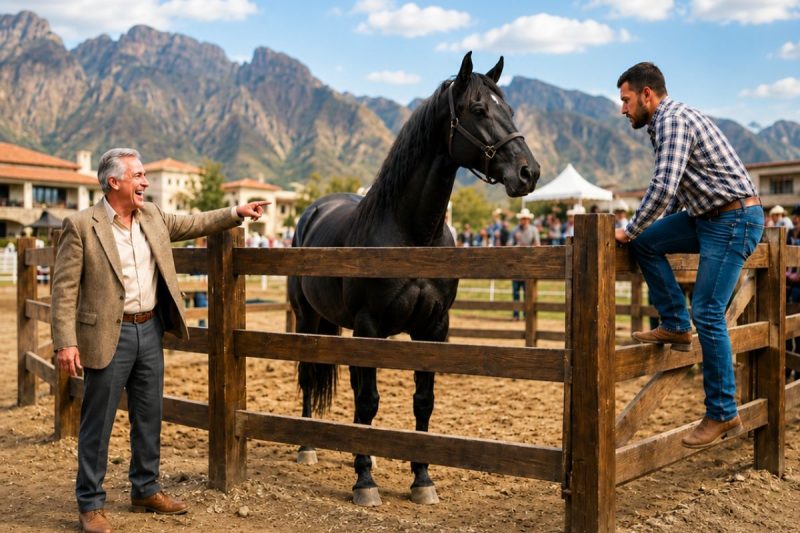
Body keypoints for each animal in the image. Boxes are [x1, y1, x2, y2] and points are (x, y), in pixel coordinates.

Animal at [288, 51, 540, 507]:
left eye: (509, 109)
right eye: (479, 110)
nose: (529, 172)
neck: (412, 233)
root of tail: (313, 210)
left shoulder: (433, 328)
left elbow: (423, 401)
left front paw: (422, 478)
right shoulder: (371, 327)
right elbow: (369, 401)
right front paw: (365, 482)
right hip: (307, 318)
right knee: (310, 375)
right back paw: (307, 445)